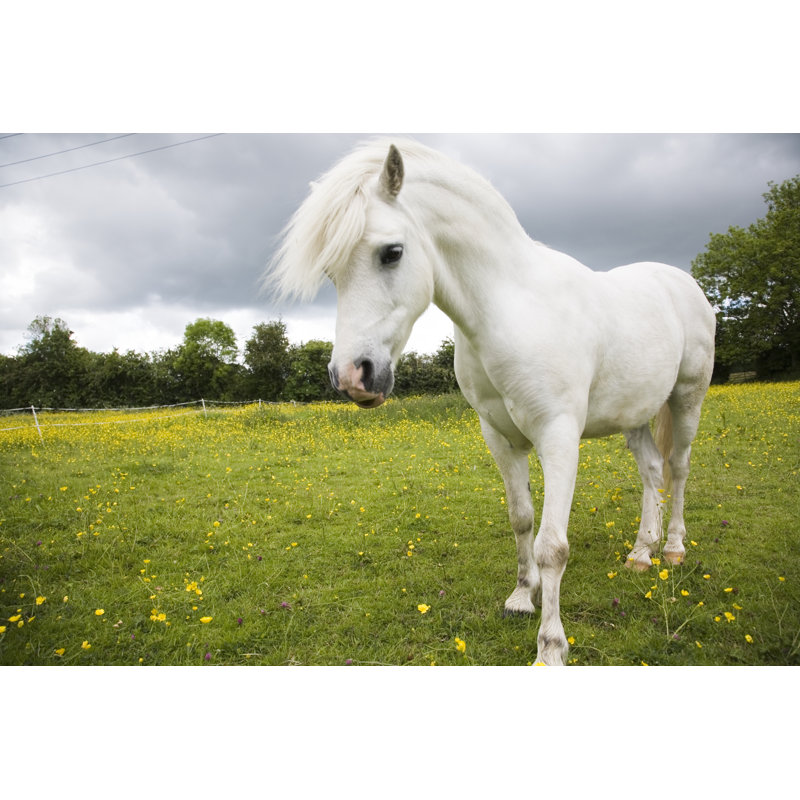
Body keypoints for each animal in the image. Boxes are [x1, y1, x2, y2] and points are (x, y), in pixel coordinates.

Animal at [268, 138, 715, 665]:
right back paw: (641, 553)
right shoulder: (500, 436)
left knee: (678, 468)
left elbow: (552, 546)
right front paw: (522, 597)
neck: (512, 307)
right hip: (635, 414)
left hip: (687, 399)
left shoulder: (558, 436)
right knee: (650, 469)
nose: (353, 377)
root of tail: (682, 282)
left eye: (392, 253)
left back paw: (673, 549)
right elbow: (522, 520)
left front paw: (550, 649)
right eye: (331, 271)